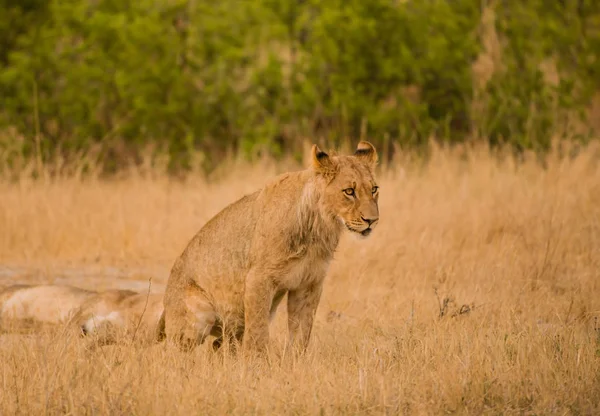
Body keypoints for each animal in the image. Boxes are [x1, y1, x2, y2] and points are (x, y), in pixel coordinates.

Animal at [158, 141, 380, 352]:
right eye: (349, 191)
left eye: (374, 189)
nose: (372, 220)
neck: (318, 227)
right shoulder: (258, 279)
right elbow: (258, 335)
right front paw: (256, 365)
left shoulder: (309, 284)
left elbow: (301, 334)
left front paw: (294, 362)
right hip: (197, 317)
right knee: (174, 351)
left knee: (218, 347)